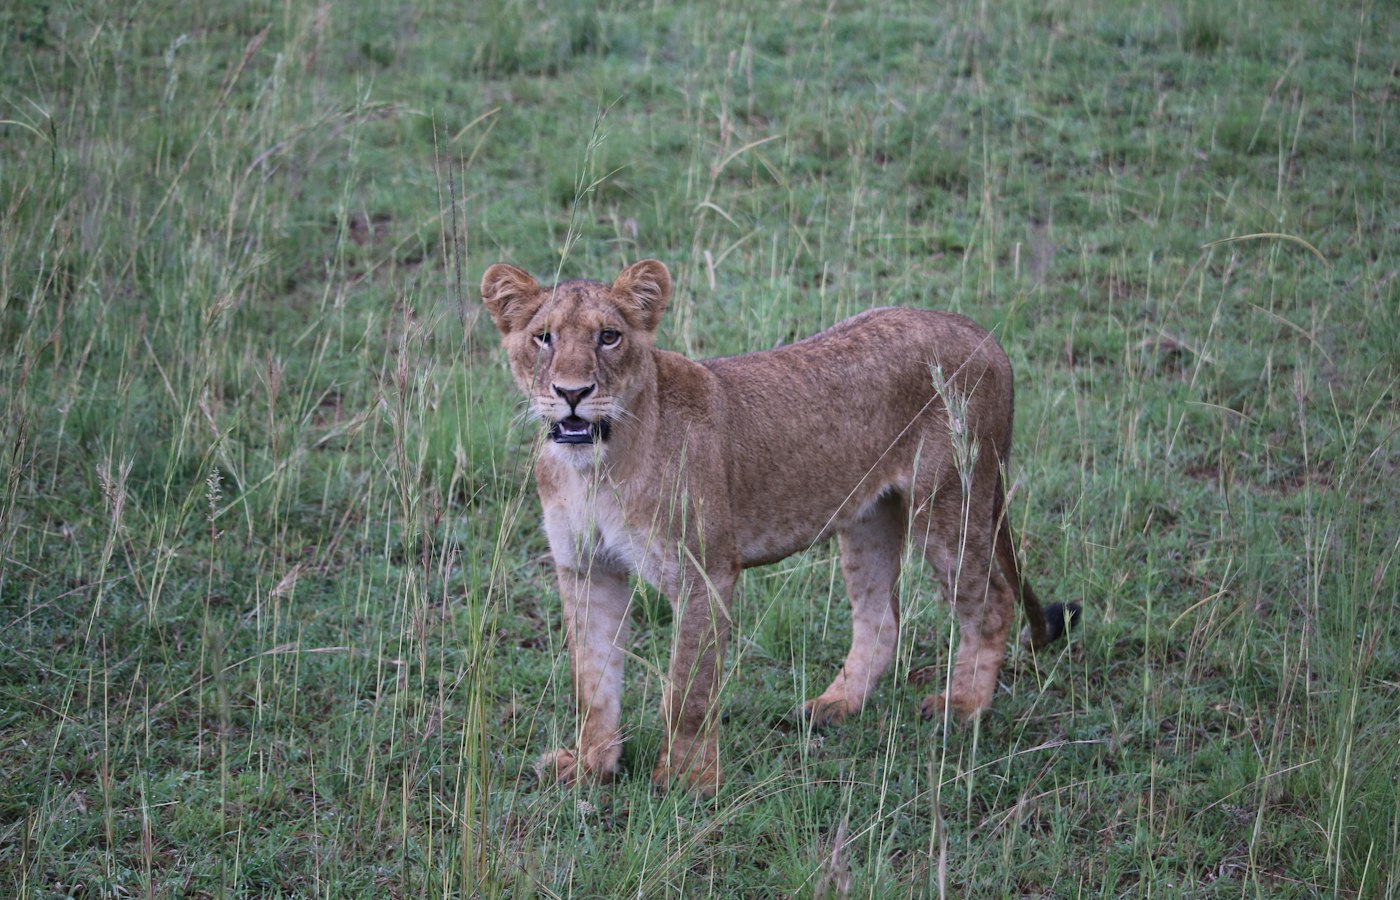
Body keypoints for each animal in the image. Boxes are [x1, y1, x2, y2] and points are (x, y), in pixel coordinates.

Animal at [480, 258, 1076, 795]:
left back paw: (964, 707)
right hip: (870, 518)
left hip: (951, 503)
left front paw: (688, 780)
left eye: (609, 337)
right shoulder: (586, 569)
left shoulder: (704, 572)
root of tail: (981, 332)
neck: (595, 466)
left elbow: (689, 689)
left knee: (993, 600)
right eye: (543, 338)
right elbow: (593, 680)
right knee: (881, 618)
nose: (572, 393)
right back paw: (835, 705)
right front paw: (591, 766)